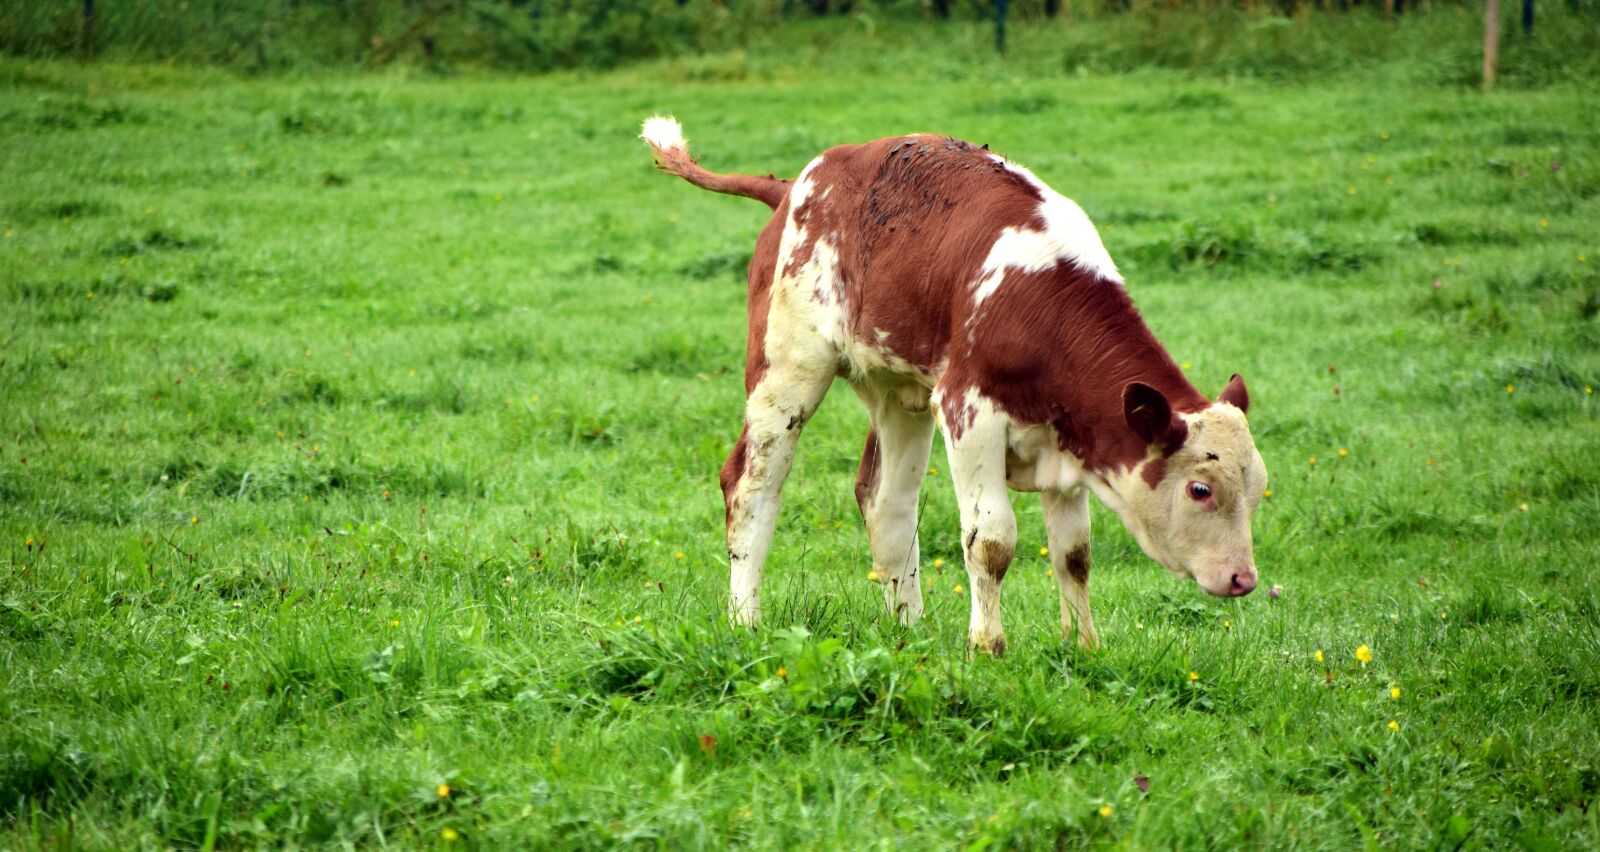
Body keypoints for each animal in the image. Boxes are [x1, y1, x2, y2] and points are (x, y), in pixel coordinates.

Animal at [641, 117, 1268, 654]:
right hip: (788, 369)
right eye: (1200, 489)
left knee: (886, 502)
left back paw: (909, 628)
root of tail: (795, 185)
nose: (1244, 578)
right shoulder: (969, 411)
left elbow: (1074, 553)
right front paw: (987, 646)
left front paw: (1082, 647)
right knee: (752, 485)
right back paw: (745, 618)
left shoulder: (1073, 437)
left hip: (899, 392)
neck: (1043, 305)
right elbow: (991, 541)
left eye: (1259, 488)